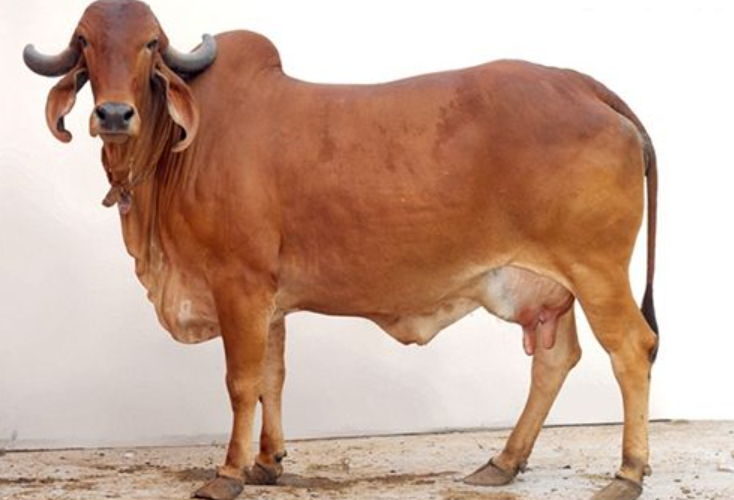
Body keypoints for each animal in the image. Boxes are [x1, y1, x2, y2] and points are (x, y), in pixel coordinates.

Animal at [23, 1, 659, 500]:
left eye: (150, 45)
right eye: (84, 42)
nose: (113, 114)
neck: (175, 154)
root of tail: (581, 84)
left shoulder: (238, 284)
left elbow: (241, 380)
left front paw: (228, 473)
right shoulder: (270, 300)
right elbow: (273, 376)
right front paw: (267, 463)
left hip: (598, 271)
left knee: (632, 349)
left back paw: (627, 473)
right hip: (553, 287)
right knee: (555, 360)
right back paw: (503, 462)